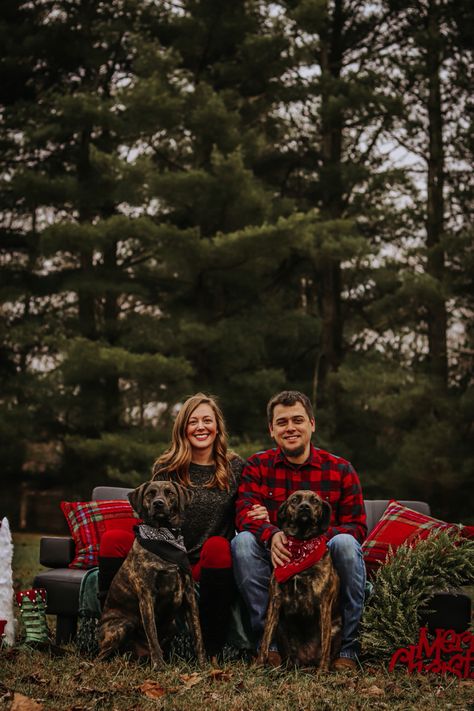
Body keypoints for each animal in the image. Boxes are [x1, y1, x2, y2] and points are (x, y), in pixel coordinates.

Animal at [98, 482, 206, 672]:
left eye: (170, 493)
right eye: (150, 494)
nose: (158, 504)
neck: (164, 537)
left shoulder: (189, 595)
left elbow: (197, 634)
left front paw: (203, 665)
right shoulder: (147, 596)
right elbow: (152, 635)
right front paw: (159, 666)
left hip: (171, 626)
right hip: (122, 625)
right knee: (101, 656)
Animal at [256, 492, 340, 672]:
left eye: (315, 501)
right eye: (295, 500)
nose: (304, 507)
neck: (301, 546)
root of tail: (305, 662)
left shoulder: (324, 604)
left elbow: (325, 644)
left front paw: (322, 672)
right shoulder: (275, 602)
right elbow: (265, 640)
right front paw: (258, 666)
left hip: (335, 630)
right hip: (281, 630)